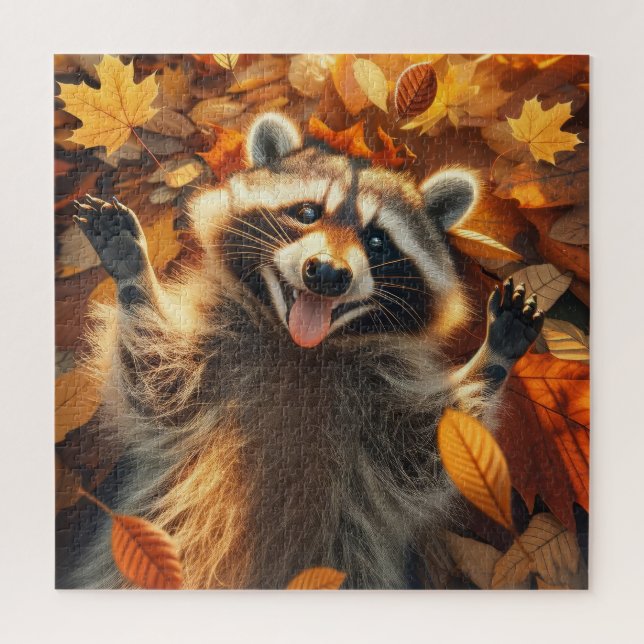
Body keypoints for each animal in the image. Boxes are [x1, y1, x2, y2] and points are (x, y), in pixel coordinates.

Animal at [69, 113, 543, 589]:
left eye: (377, 241)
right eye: (308, 213)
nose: (329, 273)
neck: (301, 350)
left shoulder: (381, 397)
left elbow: (424, 451)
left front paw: (492, 359)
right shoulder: (218, 349)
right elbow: (157, 380)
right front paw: (134, 274)